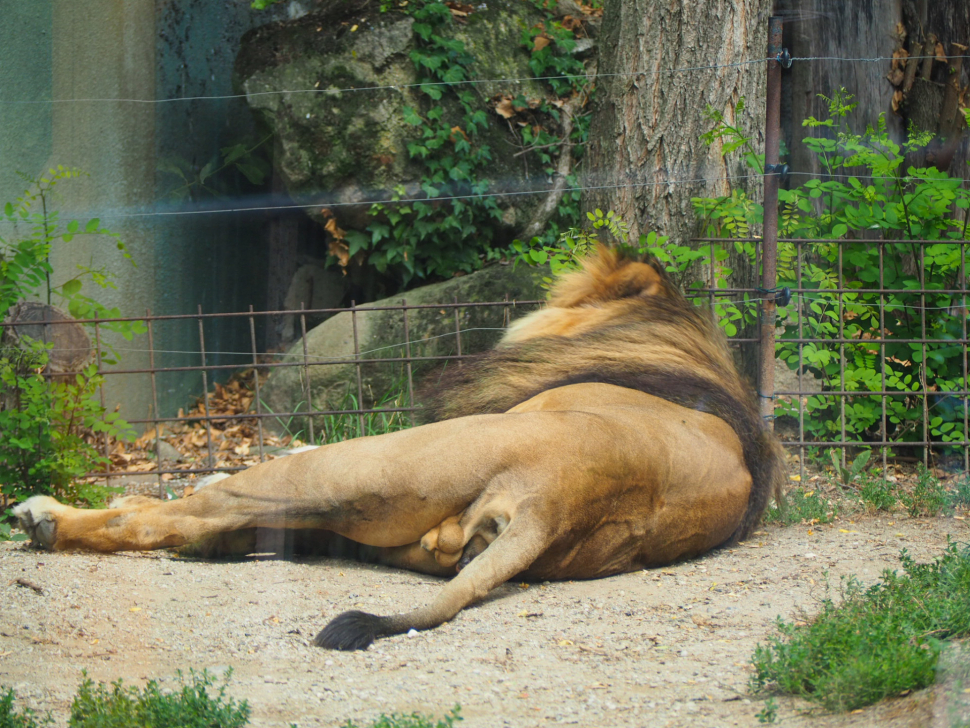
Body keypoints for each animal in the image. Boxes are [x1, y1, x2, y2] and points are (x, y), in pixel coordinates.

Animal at [13, 247, 788, 652]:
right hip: (393, 523)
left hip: (364, 460)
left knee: (164, 514)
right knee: (224, 524)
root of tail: (561, 501)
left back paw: (46, 516)